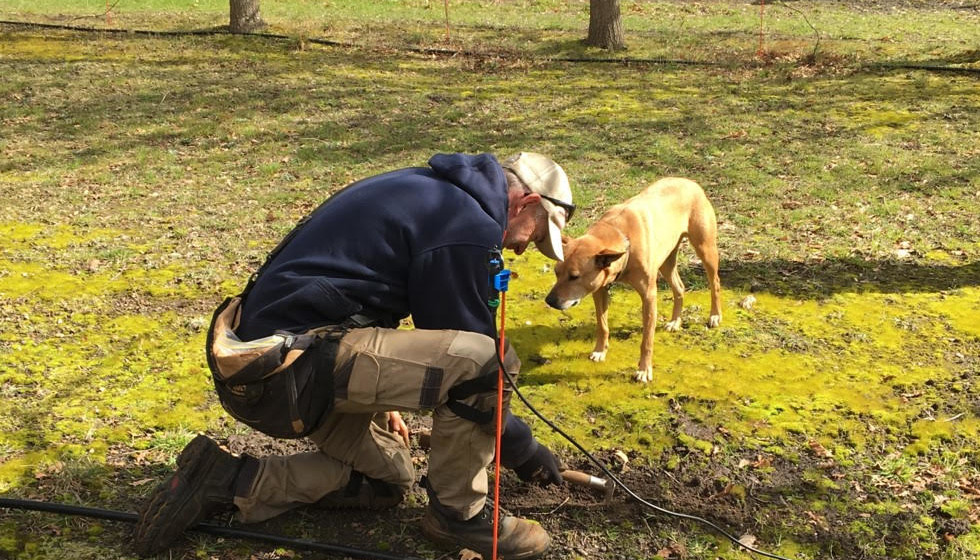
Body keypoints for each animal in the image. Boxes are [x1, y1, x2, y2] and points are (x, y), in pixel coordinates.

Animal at [544, 177, 720, 382]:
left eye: (574, 276)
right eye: (556, 272)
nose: (549, 301)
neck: (622, 235)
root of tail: (690, 181)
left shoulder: (649, 296)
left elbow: (647, 340)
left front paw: (644, 370)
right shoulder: (600, 289)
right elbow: (602, 325)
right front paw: (600, 351)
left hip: (705, 248)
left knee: (715, 283)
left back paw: (715, 316)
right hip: (666, 259)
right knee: (680, 287)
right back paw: (675, 321)